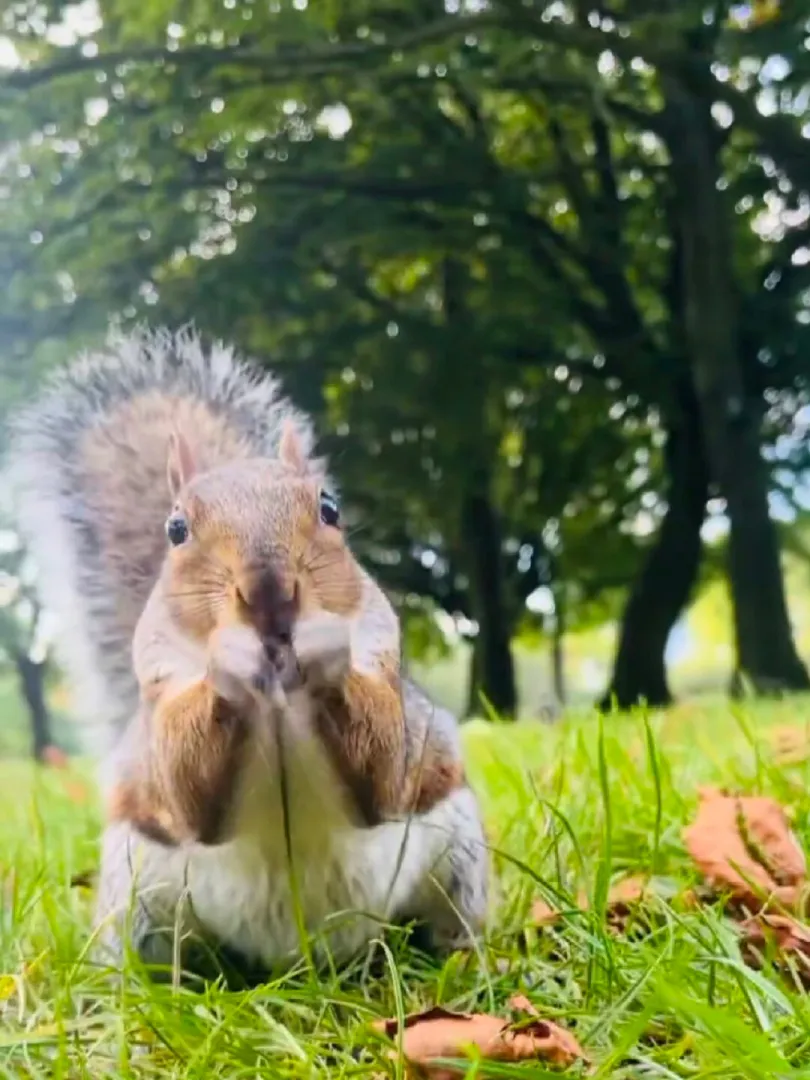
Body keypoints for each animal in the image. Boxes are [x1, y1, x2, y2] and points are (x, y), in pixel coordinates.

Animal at [7, 326, 488, 980]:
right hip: (136, 895)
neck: (279, 679)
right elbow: (187, 782)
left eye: (329, 507)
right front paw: (228, 659)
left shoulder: (382, 667)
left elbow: (382, 762)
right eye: (176, 528)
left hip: (459, 851)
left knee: (453, 920)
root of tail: (302, 964)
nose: (268, 591)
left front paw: (322, 643)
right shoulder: (162, 691)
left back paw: (466, 962)